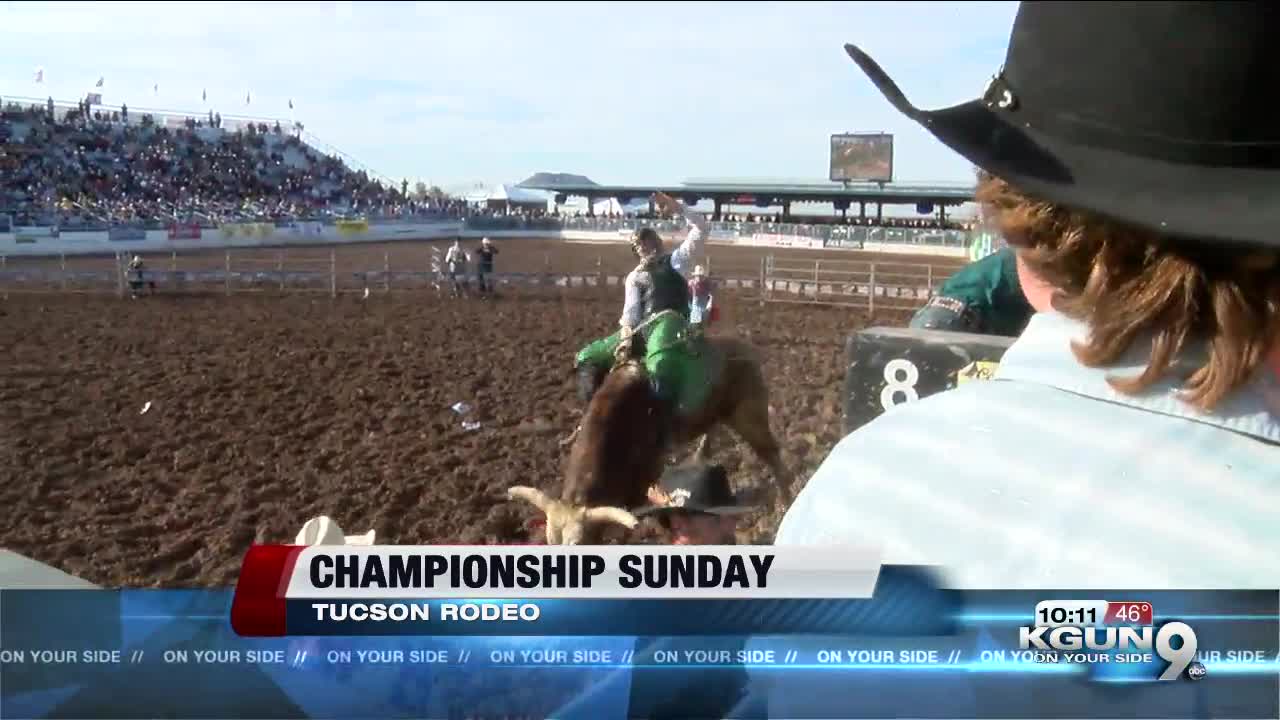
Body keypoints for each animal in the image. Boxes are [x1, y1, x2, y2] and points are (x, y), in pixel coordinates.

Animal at [509, 335, 788, 543]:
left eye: (579, 543)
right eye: (550, 541)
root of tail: (744, 348)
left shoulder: (647, 475)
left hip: (749, 417)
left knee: (773, 457)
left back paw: (784, 503)